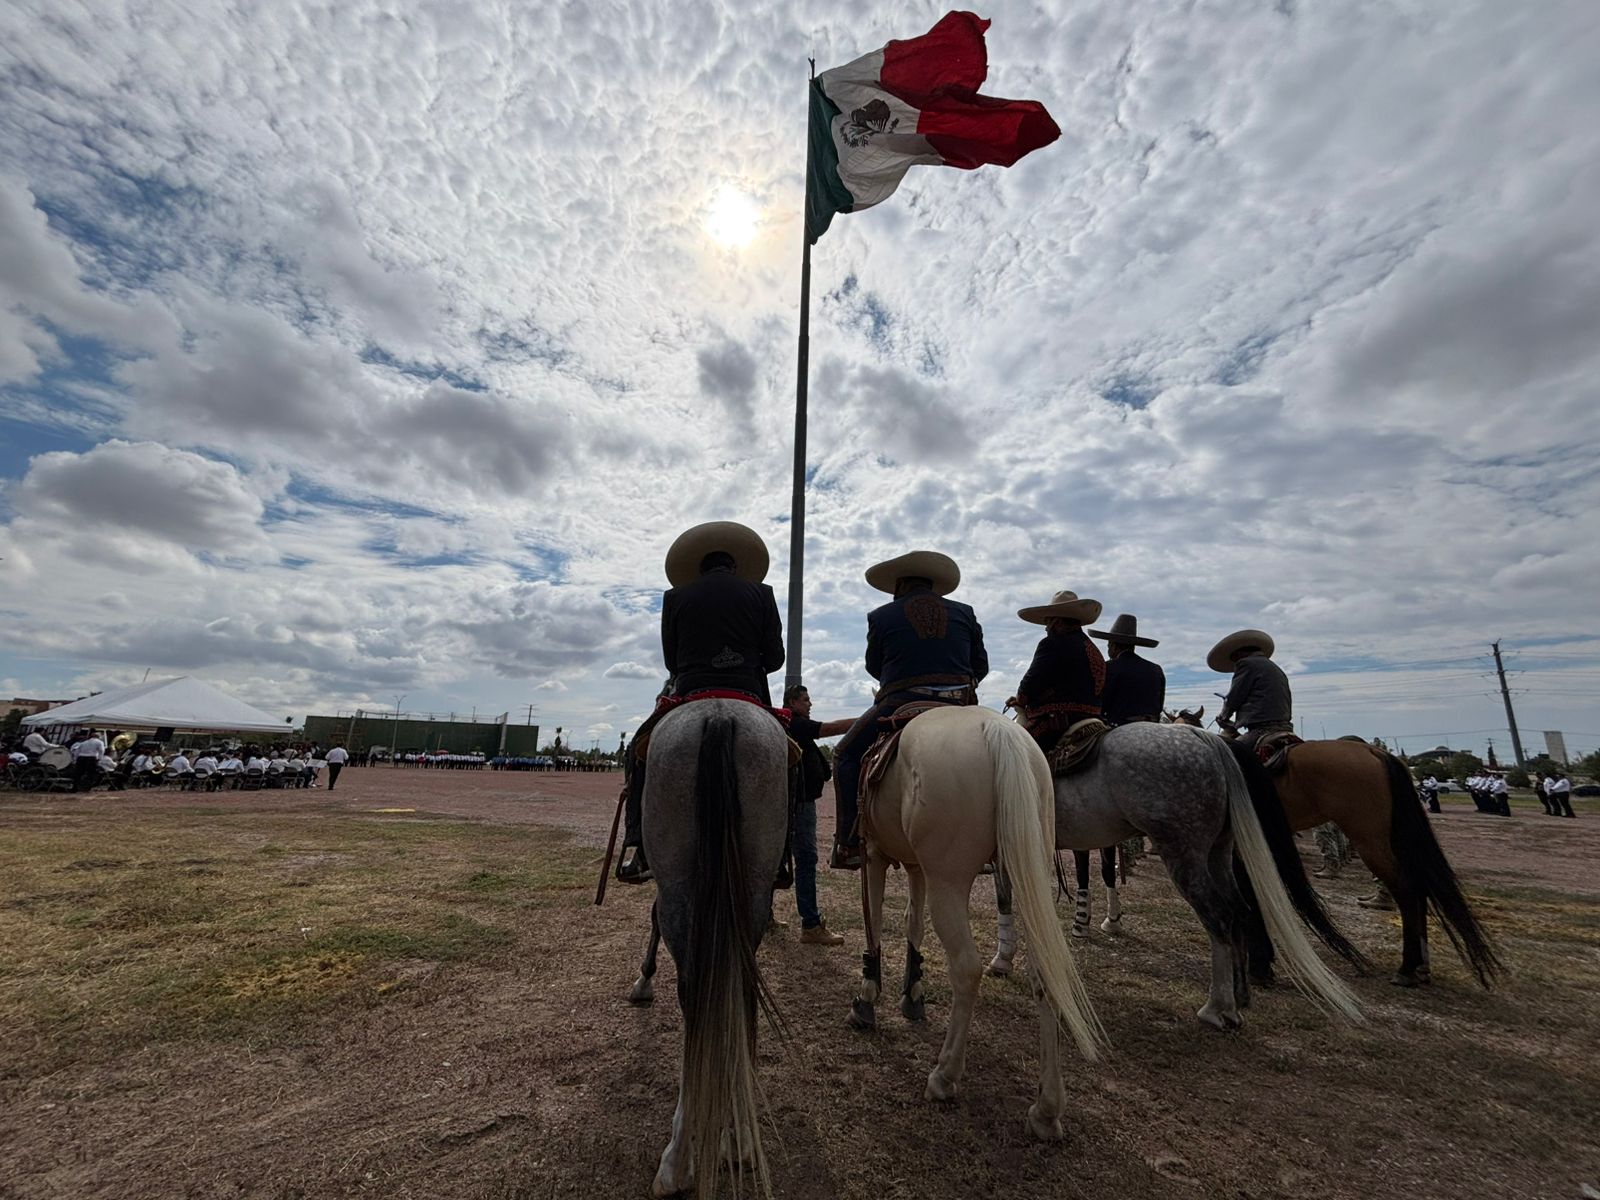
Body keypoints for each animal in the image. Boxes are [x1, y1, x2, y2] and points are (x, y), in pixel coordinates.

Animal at [637, 699, 791, 1199]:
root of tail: (720, 716)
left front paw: (643, 979)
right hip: (753, 888)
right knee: (737, 991)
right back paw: (738, 1137)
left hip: (680, 889)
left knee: (697, 997)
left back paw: (678, 1159)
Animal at [851, 706, 1104, 1141]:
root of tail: (998, 731)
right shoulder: (917, 867)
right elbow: (912, 923)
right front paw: (912, 994)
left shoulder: (875, 855)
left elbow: (877, 920)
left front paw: (868, 998)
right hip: (1023, 873)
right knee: (1045, 974)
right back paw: (1046, 1109)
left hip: (950, 883)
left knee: (966, 969)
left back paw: (945, 1075)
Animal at [988, 722, 1366, 1030]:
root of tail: (1207, 740)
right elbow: (1007, 897)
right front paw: (1007, 958)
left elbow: (1006, 899)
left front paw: (1004, 958)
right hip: (1218, 852)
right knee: (1239, 910)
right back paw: (1240, 994)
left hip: (1183, 853)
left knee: (1219, 916)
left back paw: (1218, 1008)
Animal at [1169, 712, 1502, 988]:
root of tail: (1376, 752)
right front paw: (1263, 962)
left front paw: (1260, 963)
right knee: (1416, 888)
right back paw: (1421, 967)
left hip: (1368, 835)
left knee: (1406, 888)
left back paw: (1408, 967)